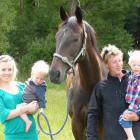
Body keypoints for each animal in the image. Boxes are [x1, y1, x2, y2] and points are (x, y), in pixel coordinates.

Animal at [49, 5, 107, 140]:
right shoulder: (77, 124)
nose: (54, 74)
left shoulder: (101, 126)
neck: (91, 86)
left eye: (75, 39)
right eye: (57, 37)